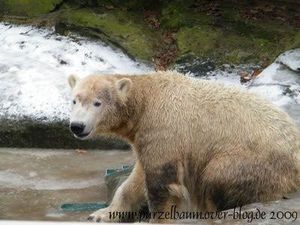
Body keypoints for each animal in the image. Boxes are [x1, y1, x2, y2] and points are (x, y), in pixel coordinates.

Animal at [68, 71, 300, 222]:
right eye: (75, 100)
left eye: (97, 102)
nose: (77, 126)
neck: (145, 100)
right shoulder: (148, 137)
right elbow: (136, 178)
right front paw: (101, 214)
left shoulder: (163, 129)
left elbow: (161, 183)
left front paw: (158, 218)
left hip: (255, 161)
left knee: (217, 175)